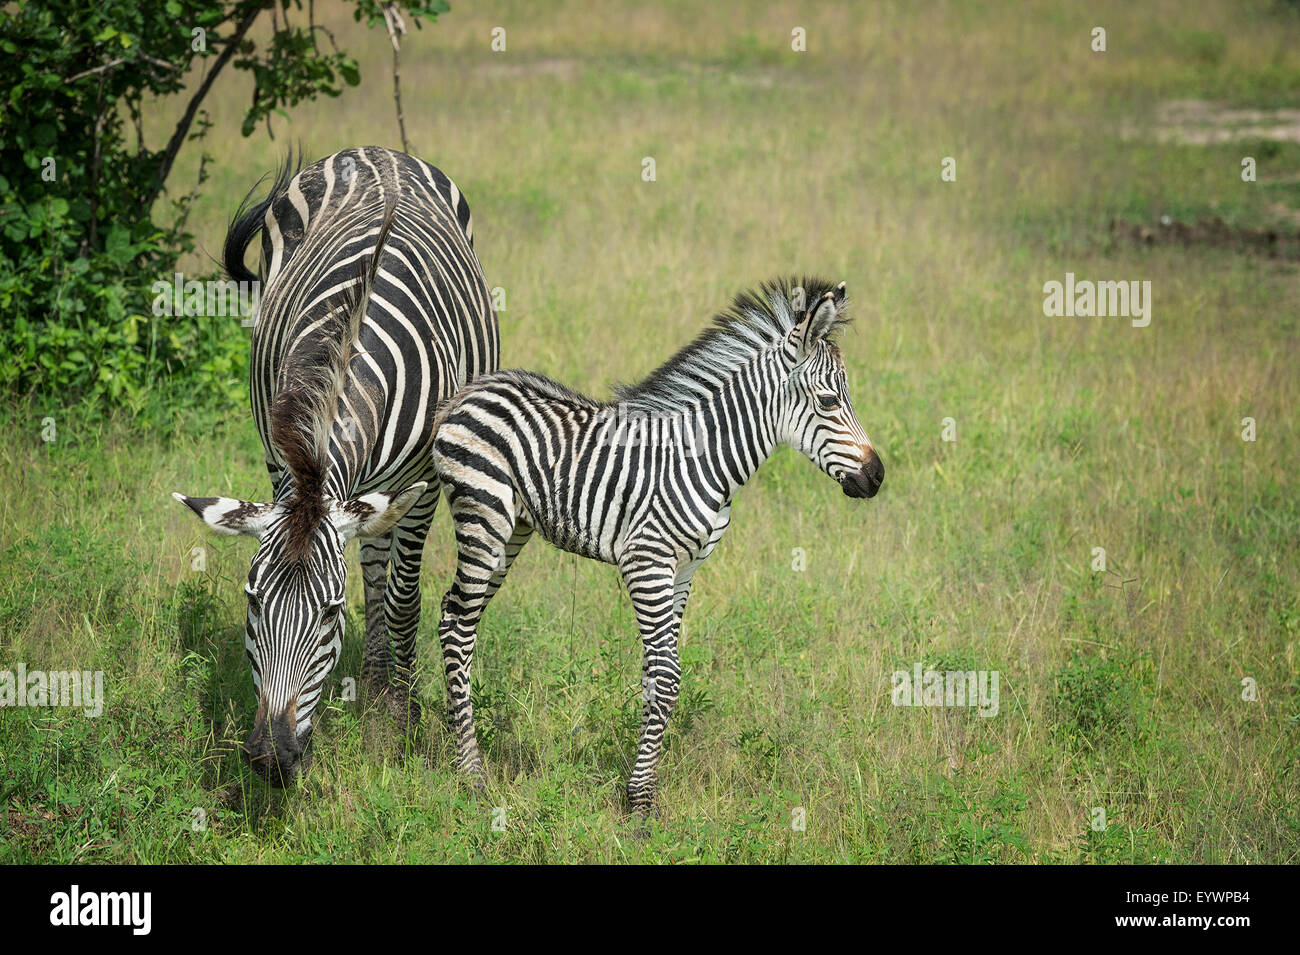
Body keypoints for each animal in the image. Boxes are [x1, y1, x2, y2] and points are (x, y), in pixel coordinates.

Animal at [172, 147, 496, 784]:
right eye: (252, 602)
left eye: (328, 614)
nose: (271, 758)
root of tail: (376, 152)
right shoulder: (284, 463)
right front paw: (380, 699)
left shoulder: (420, 487)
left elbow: (402, 599)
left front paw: (398, 721)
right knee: (370, 565)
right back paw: (372, 682)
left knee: (385, 576)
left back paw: (385, 689)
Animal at [431, 276, 889, 815]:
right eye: (828, 402)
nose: (877, 477)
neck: (708, 458)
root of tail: (468, 393)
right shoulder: (646, 562)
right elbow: (668, 677)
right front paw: (638, 804)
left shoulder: (685, 569)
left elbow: (656, 675)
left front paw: (642, 790)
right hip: (482, 516)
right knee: (457, 625)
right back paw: (472, 777)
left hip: (512, 529)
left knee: (458, 617)